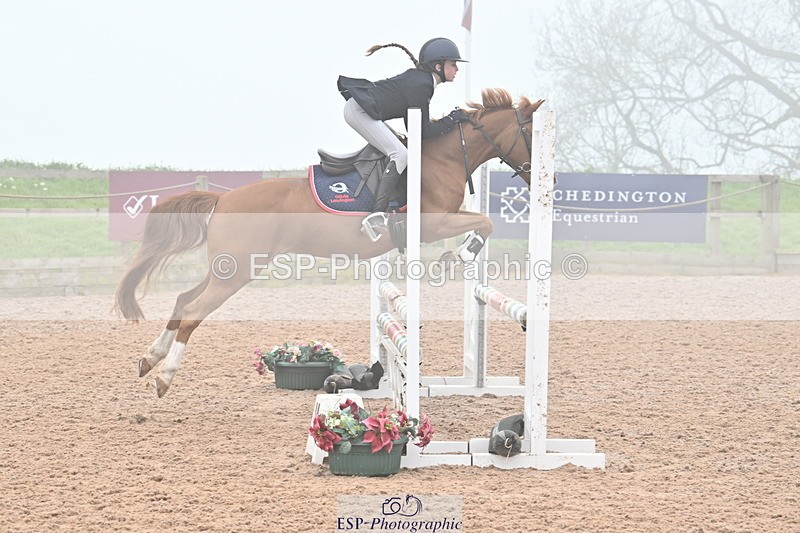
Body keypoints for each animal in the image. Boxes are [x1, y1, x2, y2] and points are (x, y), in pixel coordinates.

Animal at [114, 88, 544, 397]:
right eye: (531, 134)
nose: (546, 179)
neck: (444, 158)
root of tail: (224, 199)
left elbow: (483, 222)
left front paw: (459, 255)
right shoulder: (433, 223)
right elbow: (485, 221)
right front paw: (459, 255)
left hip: (229, 268)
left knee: (183, 300)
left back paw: (149, 359)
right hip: (237, 272)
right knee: (193, 311)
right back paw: (165, 377)